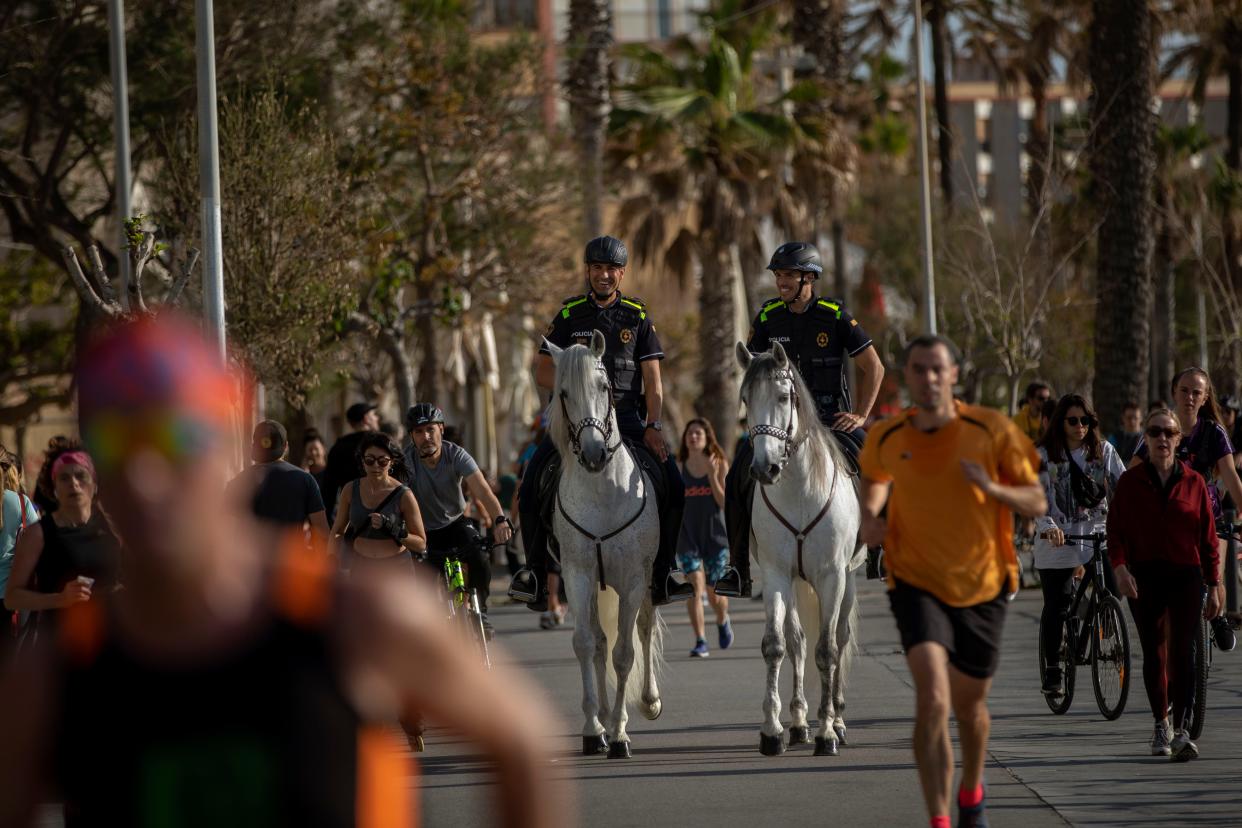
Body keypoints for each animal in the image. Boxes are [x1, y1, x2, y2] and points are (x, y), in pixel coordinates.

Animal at [548, 332, 665, 759]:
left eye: (603, 386)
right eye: (563, 393)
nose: (595, 454)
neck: (602, 491)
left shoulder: (632, 580)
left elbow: (625, 653)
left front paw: (619, 734)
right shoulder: (577, 576)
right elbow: (586, 644)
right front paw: (594, 728)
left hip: (648, 580)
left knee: (644, 630)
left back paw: (648, 702)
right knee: (599, 641)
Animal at [735, 342, 864, 759]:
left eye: (782, 397)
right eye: (746, 399)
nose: (764, 468)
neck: (798, 487)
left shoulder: (831, 576)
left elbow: (827, 651)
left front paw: (827, 732)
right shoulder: (776, 574)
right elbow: (777, 645)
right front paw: (773, 730)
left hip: (848, 579)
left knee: (839, 638)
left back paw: (837, 719)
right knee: (797, 641)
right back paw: (798, 723)